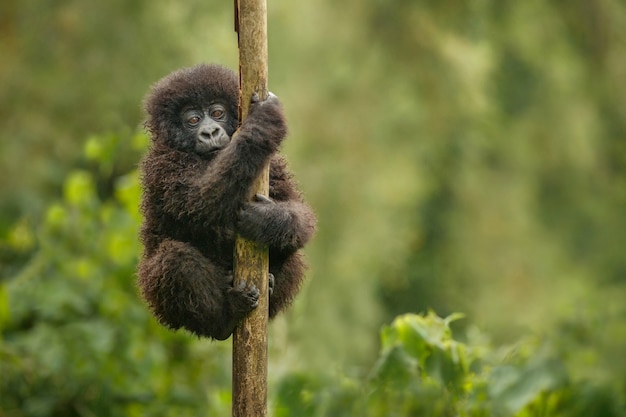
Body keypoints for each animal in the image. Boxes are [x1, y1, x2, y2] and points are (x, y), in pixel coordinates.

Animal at [135, 64, 314, 338]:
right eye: (193, 120)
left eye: (217, 113)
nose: (210, 131)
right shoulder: (162, 166)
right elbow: (201, 202)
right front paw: (262, 123)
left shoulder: (273, 165)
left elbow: (299, 213)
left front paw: (267, 220)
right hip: (157, 300)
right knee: (174, 259)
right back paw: (226, 317)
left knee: (293, 253)